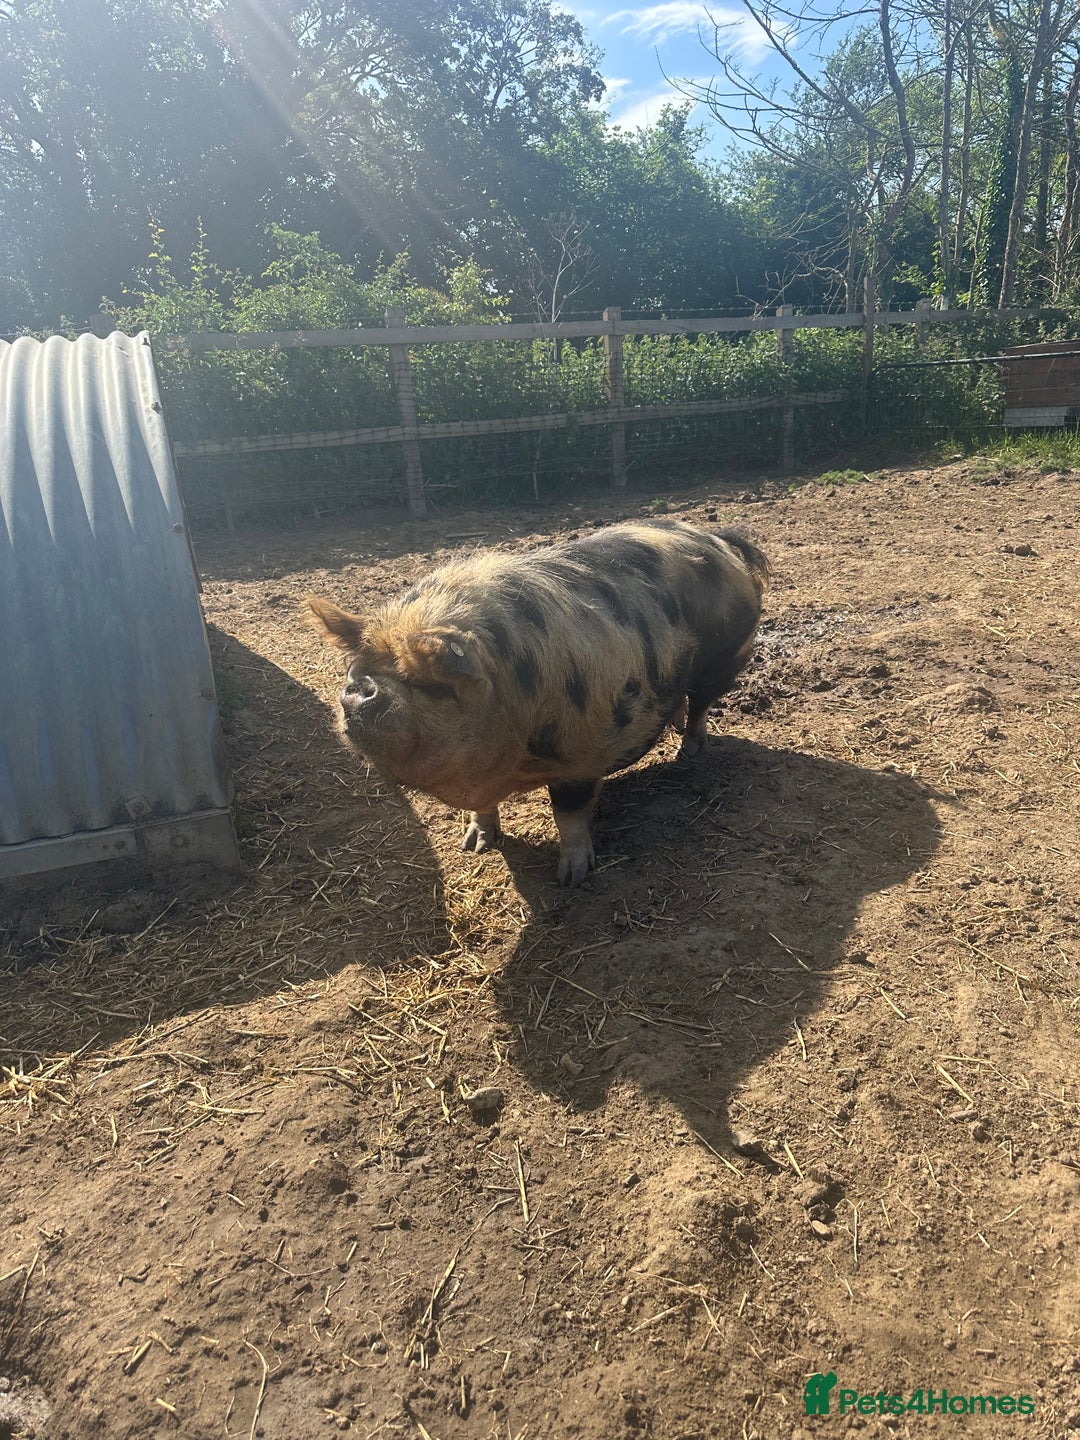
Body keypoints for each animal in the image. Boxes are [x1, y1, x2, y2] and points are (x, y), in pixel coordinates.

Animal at [304, 519, 769, 886]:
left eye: (430, 683)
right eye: (359, 668)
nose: (360, 688)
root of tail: (717, 538)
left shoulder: (582, 753)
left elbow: (569, 815)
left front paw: (572, 878)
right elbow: (484, 810)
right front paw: (475, 845)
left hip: (726, 656)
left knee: (702, 702)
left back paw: (688, 751)